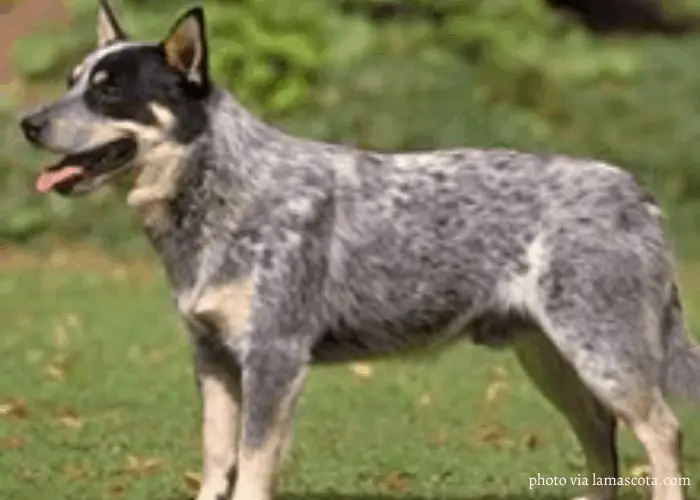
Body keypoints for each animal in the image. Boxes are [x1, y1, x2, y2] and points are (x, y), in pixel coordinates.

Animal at [16, 0, 700, 500]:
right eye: (72, 82)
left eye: (109, 91)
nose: (27, 122)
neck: (225, 191)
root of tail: (637, 193)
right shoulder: (212, 359)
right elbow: (215, 461)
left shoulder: (274, 358)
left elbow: (251, 466)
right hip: (552, 361)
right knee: (601, 435)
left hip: (603, 354)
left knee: (662, 431)